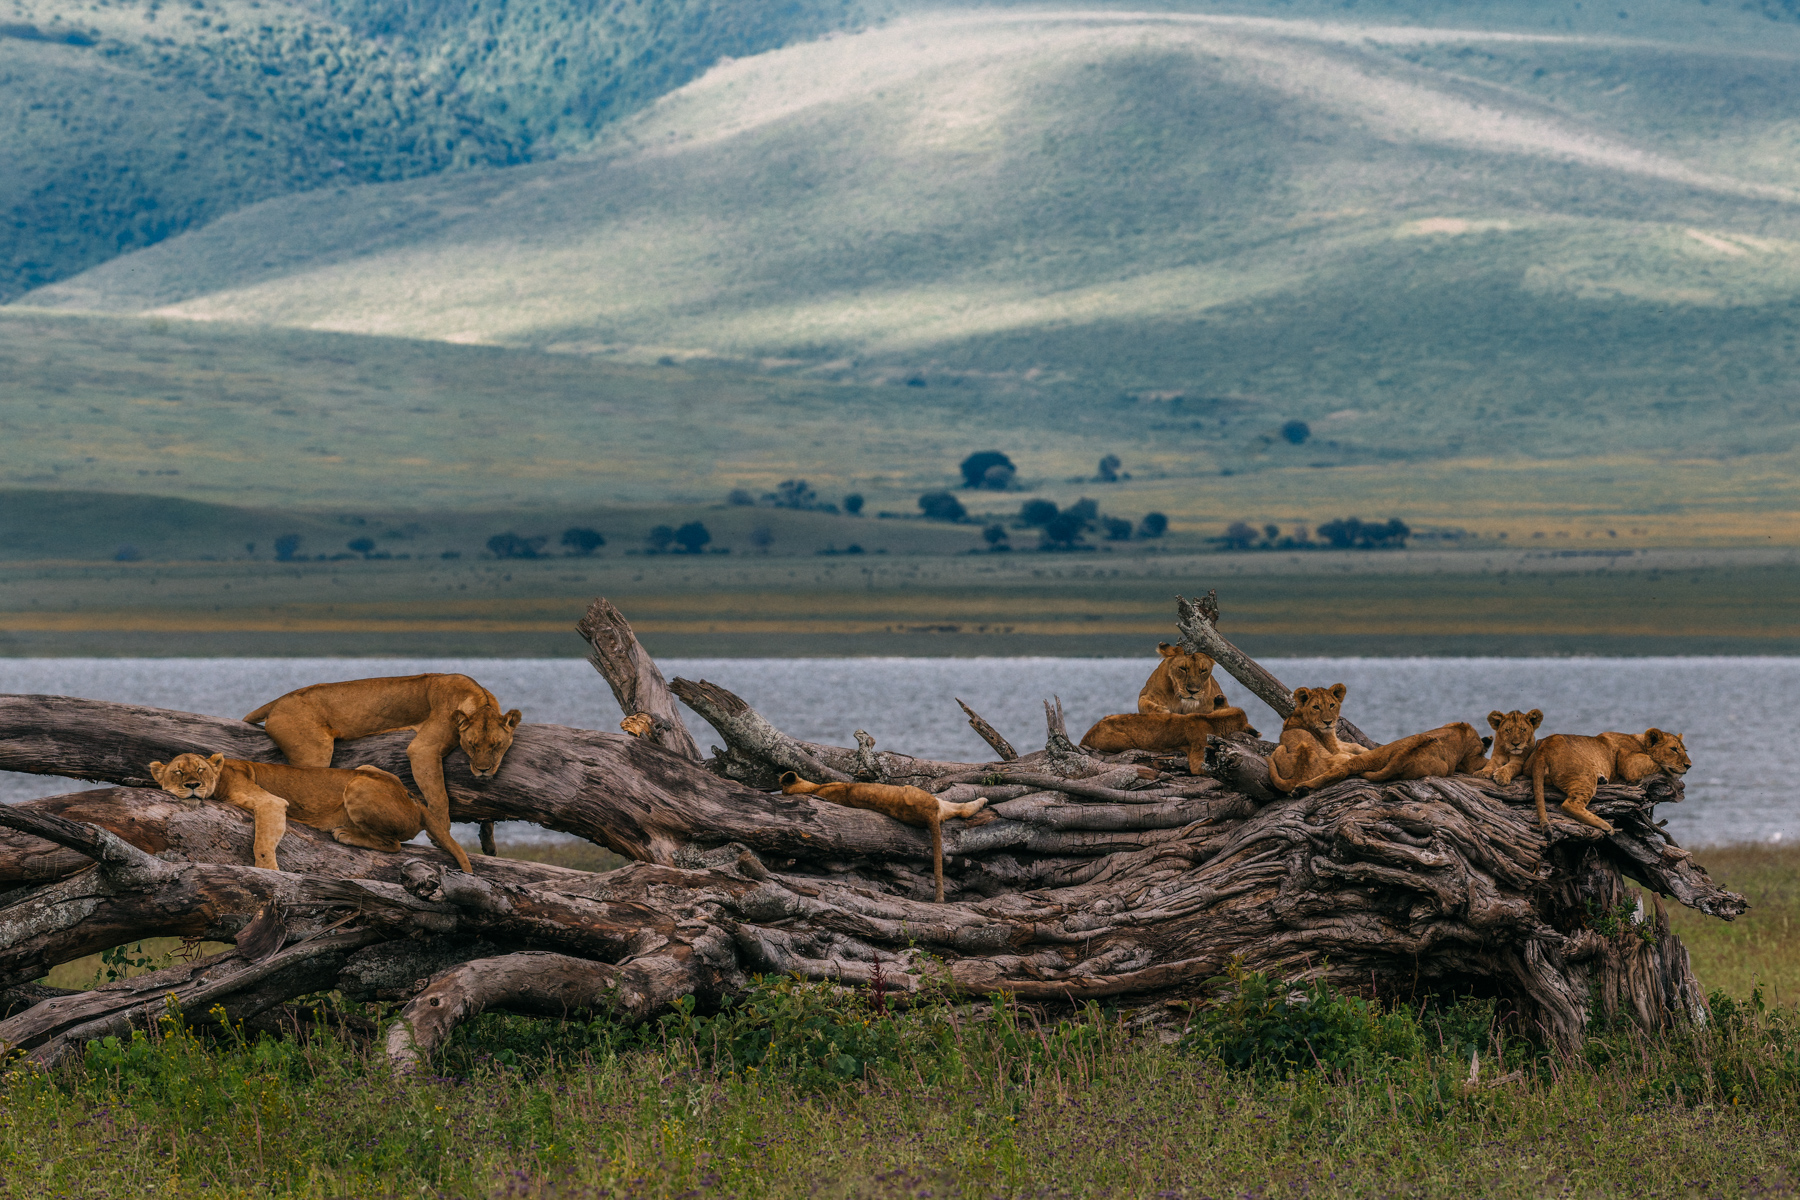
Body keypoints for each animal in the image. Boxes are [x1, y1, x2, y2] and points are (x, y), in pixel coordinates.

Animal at [147, 753, 423, 871]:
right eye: (178, 772)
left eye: (200, 770)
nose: (193, 785)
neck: (221, 777)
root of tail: (413, 798)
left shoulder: (271, 802)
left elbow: (261, 844)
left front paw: (269, 872)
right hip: (366, 769)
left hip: (357, 784)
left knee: (395, 844)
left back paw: (346, 833)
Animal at [244, 673, 522, 874]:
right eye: (472, 745)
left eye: (496, 745)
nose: (483, 769)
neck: (479, 698)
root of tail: (280, 700)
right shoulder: (423, 749)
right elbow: (439, 796)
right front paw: (441, 837)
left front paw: (489, 842)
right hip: (315, 751)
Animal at [1299, 722, 1489, 791]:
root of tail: (1401, 756)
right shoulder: (1472, 759)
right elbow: (1482, 762)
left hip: (1374, 755)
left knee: (1344, 768)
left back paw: (1302, 788)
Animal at [1528, 729, 1691, 835]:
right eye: (1674, 749)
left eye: (1685, 750)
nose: (1689, 765)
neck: (1640, 742)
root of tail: (1543, 749)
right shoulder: (1631, 764)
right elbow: (1658, 763)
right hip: (1585, 775)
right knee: (1570, 804)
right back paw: (1606, 826)